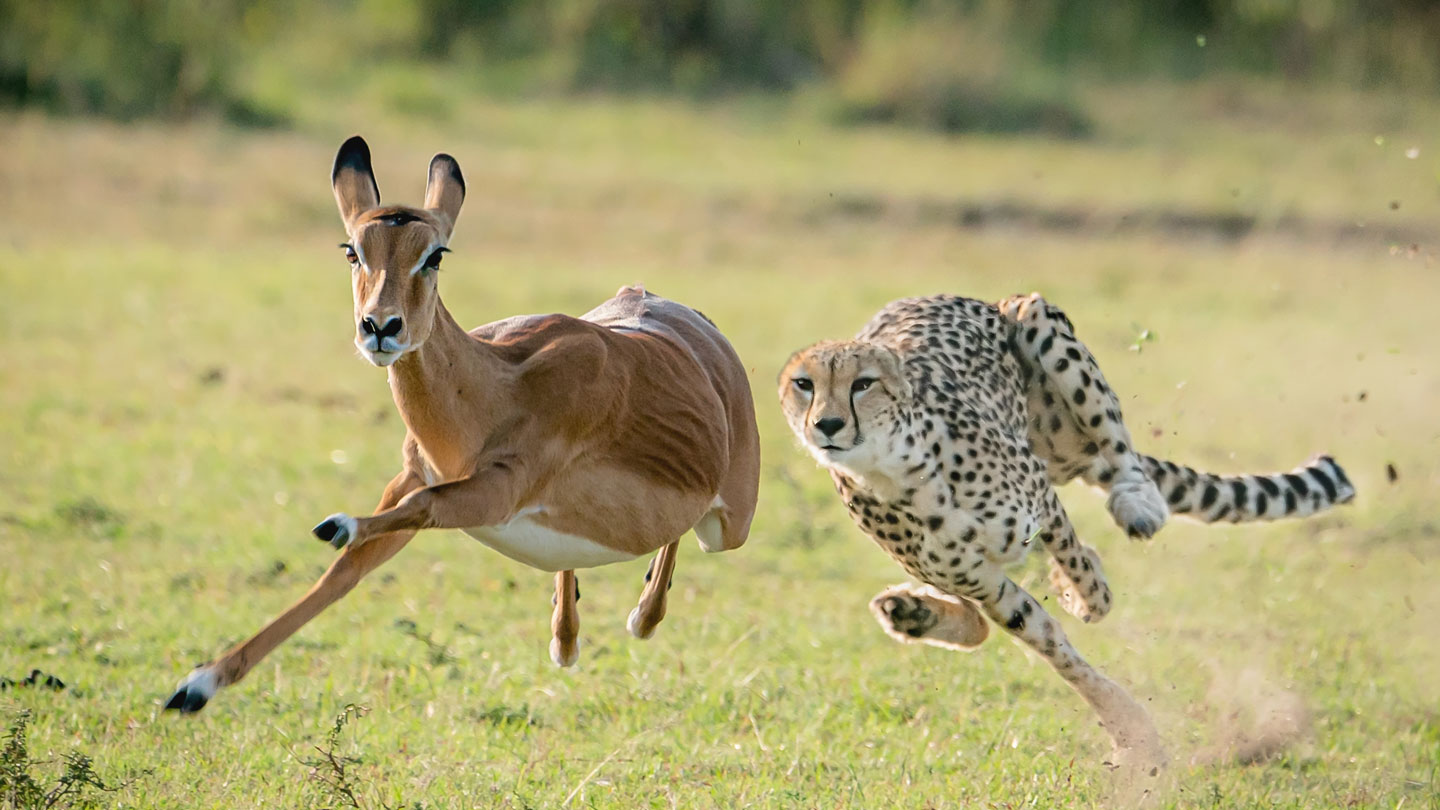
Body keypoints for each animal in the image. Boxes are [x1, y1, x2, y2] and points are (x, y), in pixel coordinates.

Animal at [777, 291, 1347, 760]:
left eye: (863, 384)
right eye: (804, 385)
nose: (826, 424)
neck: (895, 469)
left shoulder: (1039, 502)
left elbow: (1080, 573)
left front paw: (1085, 597)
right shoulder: (985, 582)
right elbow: (1050, 644)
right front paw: (1128, 726)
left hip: (1037, 322)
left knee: (1119, 449)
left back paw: (1137, 501)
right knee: (977, 621)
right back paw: (911, 613)